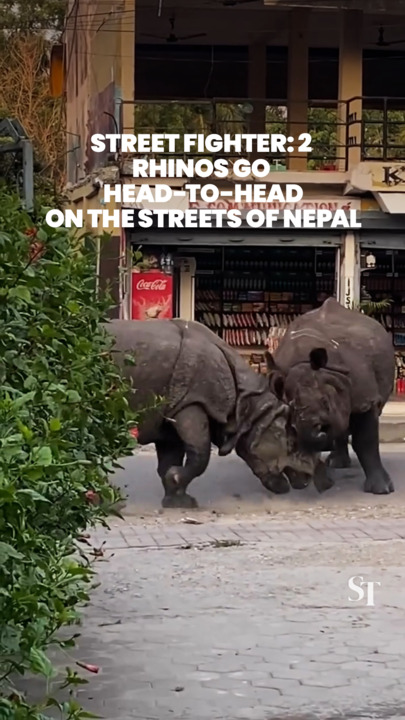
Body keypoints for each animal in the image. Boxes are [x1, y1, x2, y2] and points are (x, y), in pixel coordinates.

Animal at [106, 318, 318, 508]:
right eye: (291, 444)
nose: (309, 476)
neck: (249, 406)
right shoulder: (192, 402)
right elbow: (201, 453)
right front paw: (176, 479)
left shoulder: (171, 411)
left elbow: (171, 457)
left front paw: (178, 501)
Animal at [266, 298, 395, 495]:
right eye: (291, 407)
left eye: (325, 402)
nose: (317, 432)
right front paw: (302, 479)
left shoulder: (366, 399)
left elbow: (366, 441)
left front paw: (382, 490)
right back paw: (336, 463)